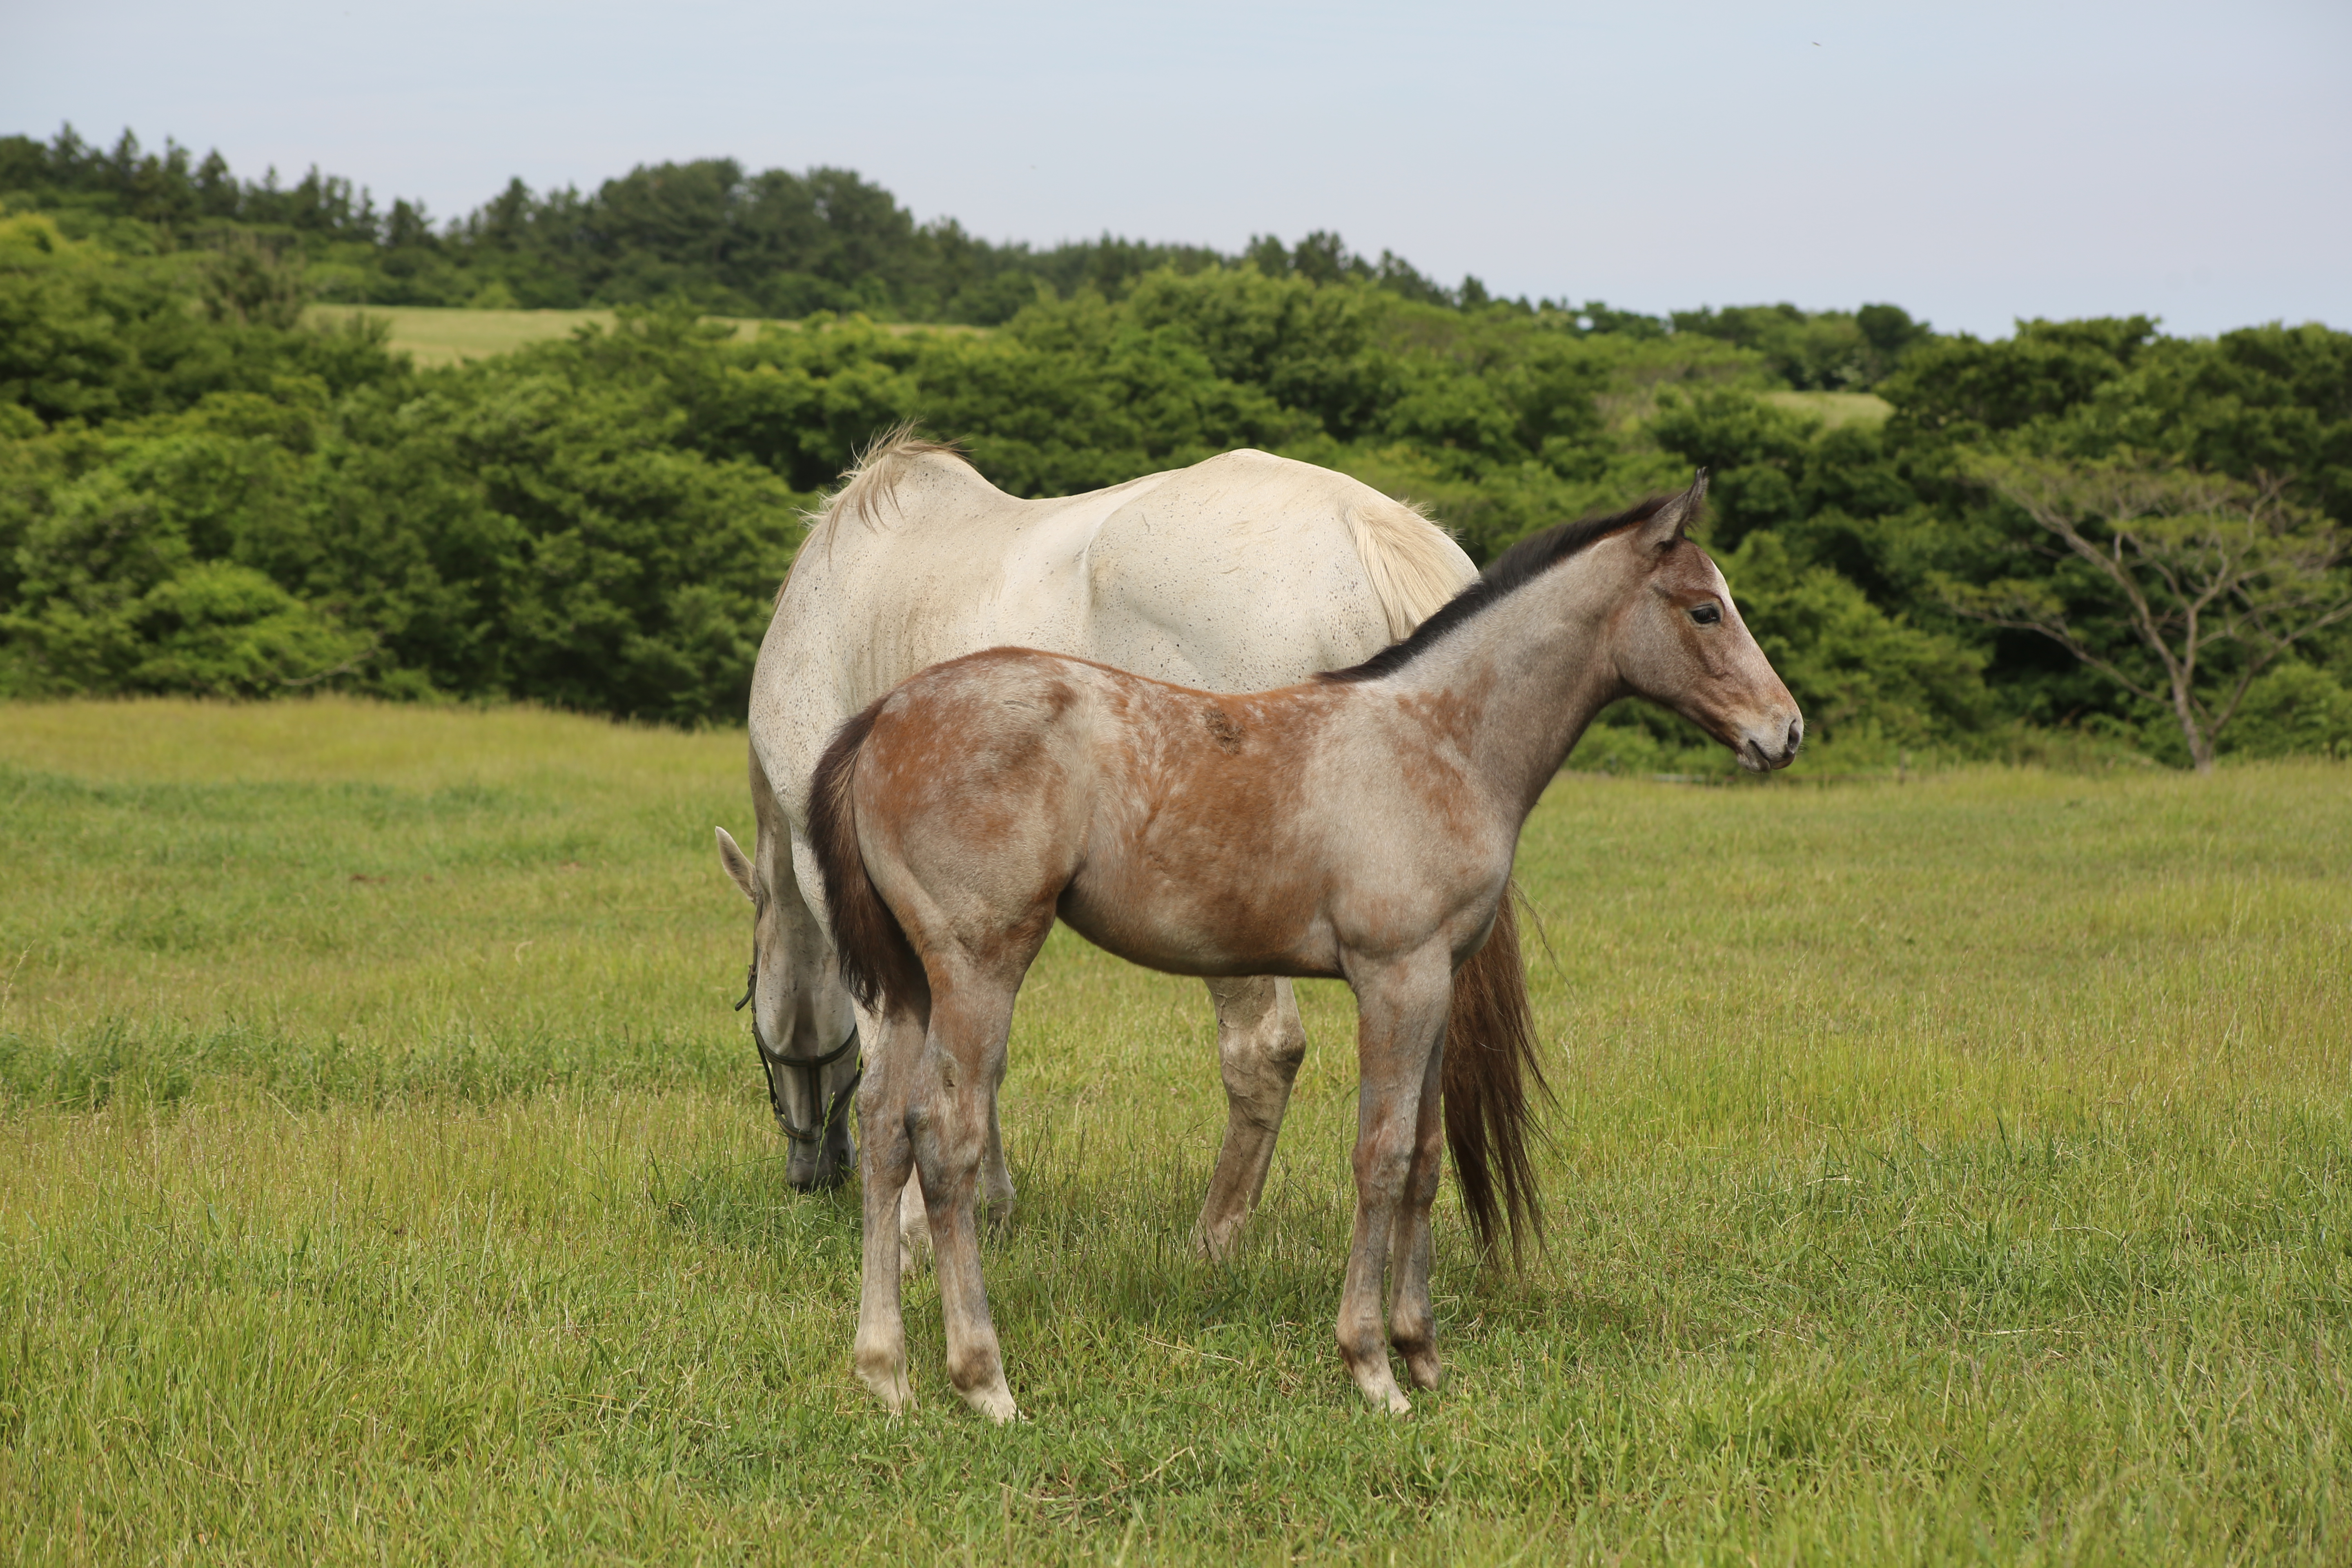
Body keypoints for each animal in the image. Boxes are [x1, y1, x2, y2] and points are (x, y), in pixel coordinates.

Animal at [724, 432, 1552, 1260]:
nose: (811, 1172)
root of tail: (1362, 527)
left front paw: (910, 1229)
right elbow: (977, 1053)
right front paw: (985, 1202)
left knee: (1264, 1049)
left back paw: (1213, 1242)